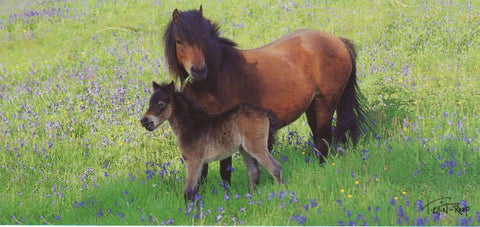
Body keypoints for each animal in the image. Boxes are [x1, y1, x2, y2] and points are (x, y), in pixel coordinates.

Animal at [141, 82, 284, 202]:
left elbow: (188, 191)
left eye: (161, 103)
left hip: (255, 146)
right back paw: (250, 196)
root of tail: (263, 112)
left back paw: (280, 193)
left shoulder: (193, 160)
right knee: (254, 172)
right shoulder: (199, 163)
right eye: (150, 102)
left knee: (275, 168)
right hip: (244, 150)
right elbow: (195, 188)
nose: (144, 122)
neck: (191, 124)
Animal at [163, 5, 370, 184]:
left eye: (203, 39)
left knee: (323, 141)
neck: (215, 78)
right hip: (312, 108)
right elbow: (202, 169)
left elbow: (225, 169)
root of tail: (338, 41)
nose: (199, 71)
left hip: (325, 105)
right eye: (179, 41)